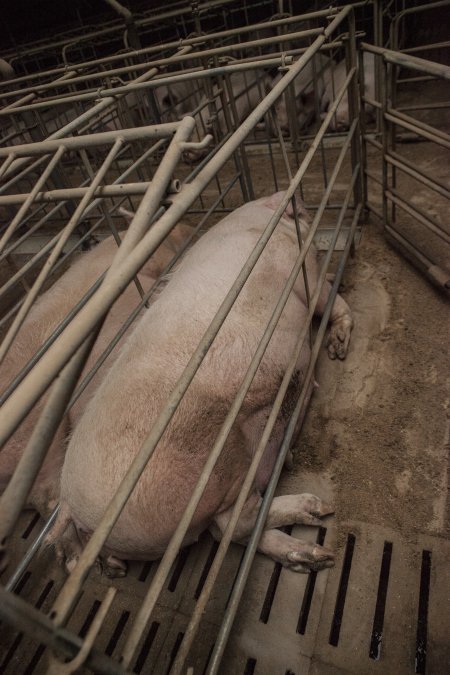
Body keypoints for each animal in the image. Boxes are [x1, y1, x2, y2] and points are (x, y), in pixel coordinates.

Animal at [52, 193, 354, 580]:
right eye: (298, 210)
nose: (299, 199)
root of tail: (69, 505)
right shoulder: (304, 277)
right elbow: (327, 297)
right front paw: (338, 348)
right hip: (219, 467)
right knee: (234, 527)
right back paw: (317, 518)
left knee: (228, 530)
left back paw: (314, 551)